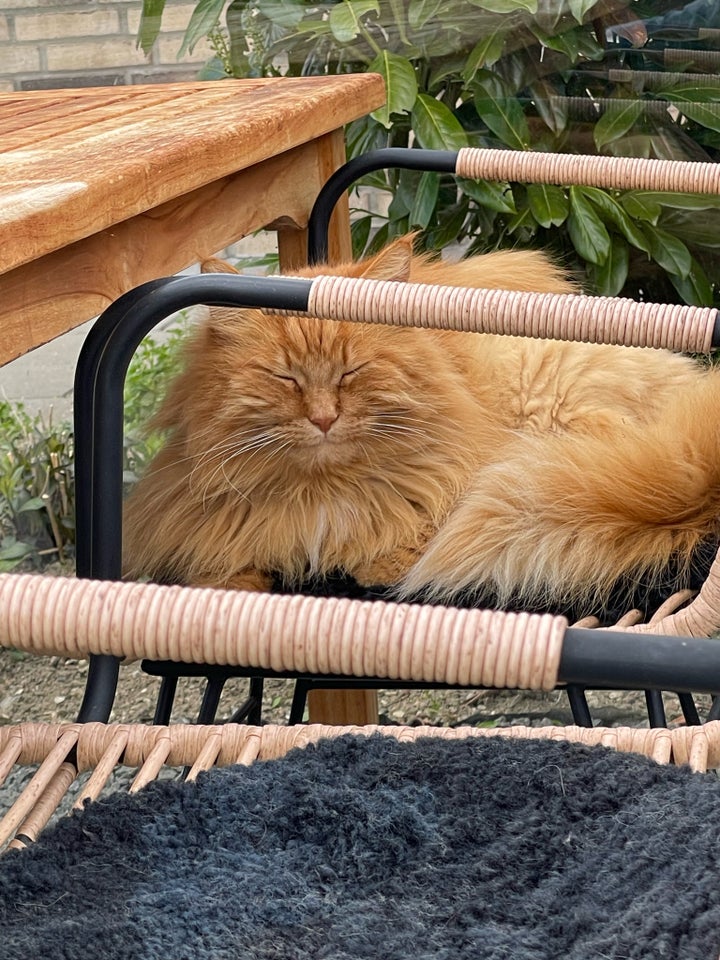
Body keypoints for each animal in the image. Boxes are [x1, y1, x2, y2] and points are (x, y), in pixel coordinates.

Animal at [121, 236, 720, 620]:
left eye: (352, 371)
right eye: (284, 377)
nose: (323, 418)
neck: (323, 492)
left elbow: (403, 527)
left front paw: (380, 558)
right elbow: (228, 561)